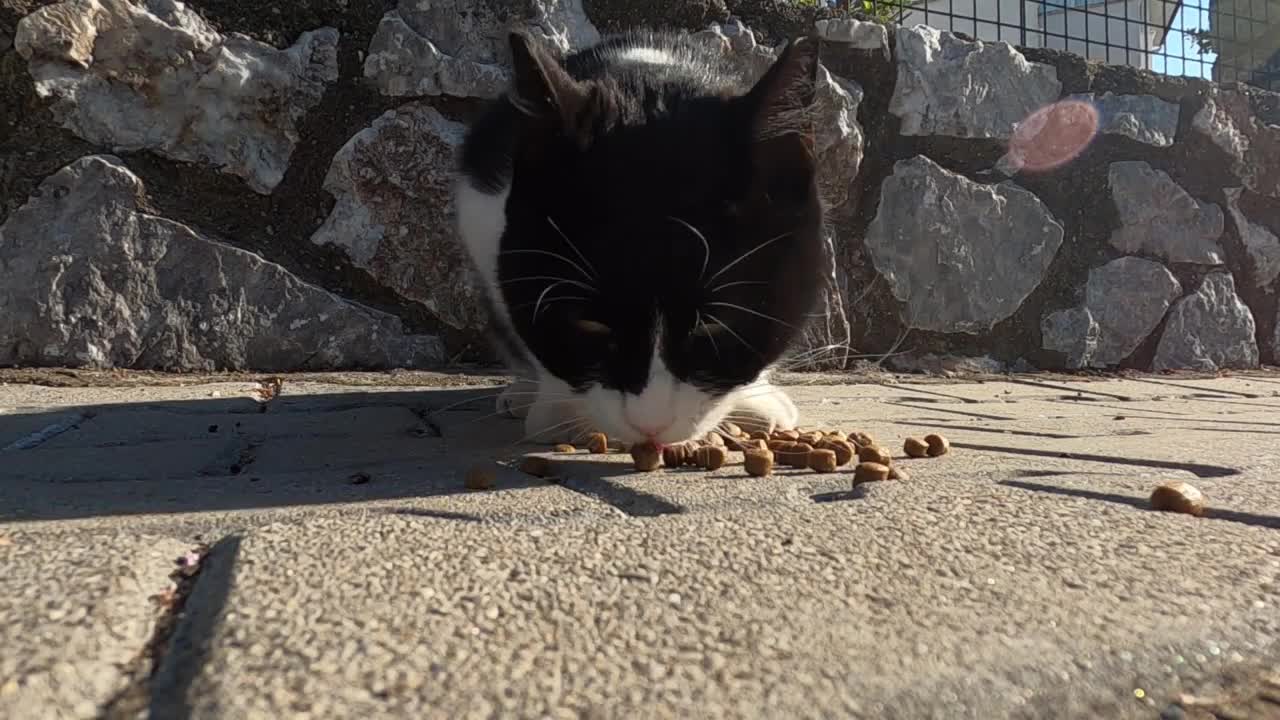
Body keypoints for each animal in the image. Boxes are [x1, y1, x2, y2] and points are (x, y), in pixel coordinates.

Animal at [455, 28, 824, 445]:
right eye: (589, 324)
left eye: (715, 325)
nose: (651, 424)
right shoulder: (478, 204)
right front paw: (560, 412)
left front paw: (754, 402)